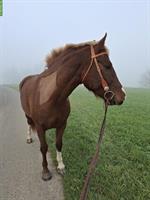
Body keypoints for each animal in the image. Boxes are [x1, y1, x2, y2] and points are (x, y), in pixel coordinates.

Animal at [19, 33, 126, 180]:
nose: (123, 95)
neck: (53, 98)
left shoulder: (62, 125)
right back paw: (29, 138)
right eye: (107, 65)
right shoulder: (40, 127)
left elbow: (58, 144)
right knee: (29, 124)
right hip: (27, 115)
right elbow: (44, 147)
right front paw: (46, 171)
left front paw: (61, 167)